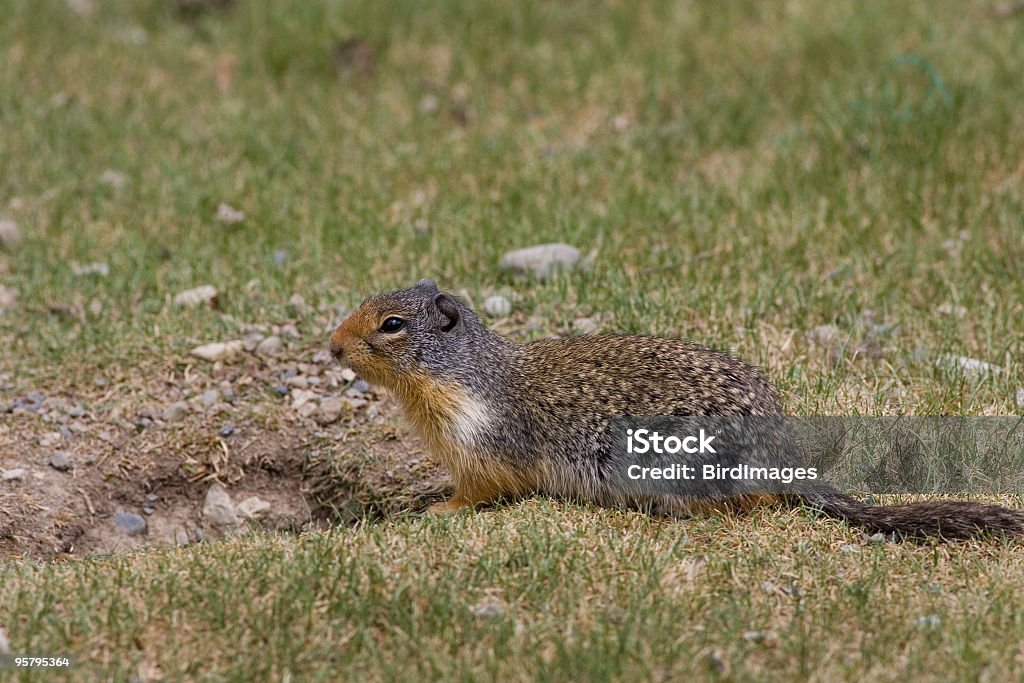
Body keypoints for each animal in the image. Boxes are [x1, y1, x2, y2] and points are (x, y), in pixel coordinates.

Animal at [331, 280, 1019, 540]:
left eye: (392, 324)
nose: (332, 345)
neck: (464, 376)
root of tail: (784, 457)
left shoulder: (481, 438)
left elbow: (480, 488)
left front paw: (437, 509)